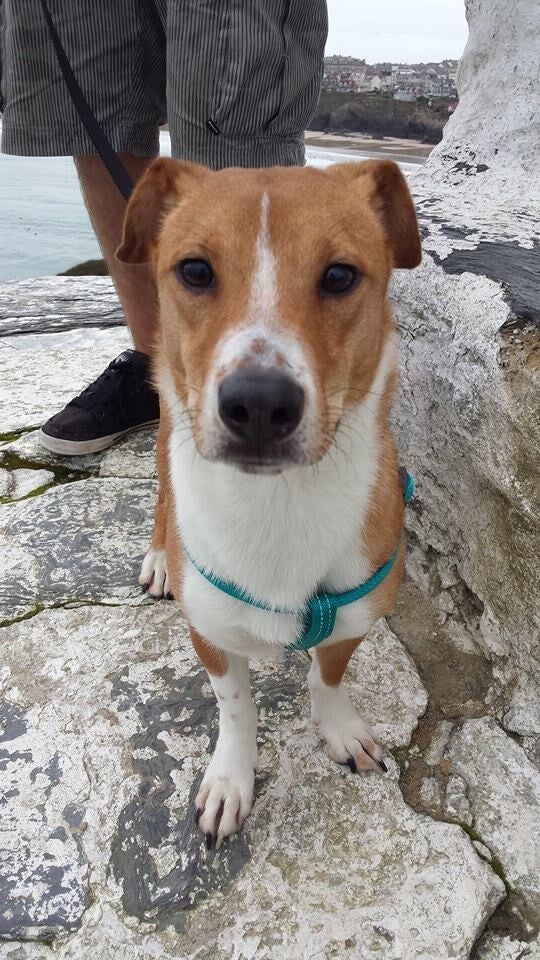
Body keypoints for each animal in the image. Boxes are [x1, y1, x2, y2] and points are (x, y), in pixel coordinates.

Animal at [117, 157, 421, 849]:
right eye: (194, 270)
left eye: (339, 275)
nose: (259, 402)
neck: (280, 504)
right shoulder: (210, 633)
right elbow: (237, 708)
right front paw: (232, 779)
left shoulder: (354, 614)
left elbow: (326, 677)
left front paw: (338, 729)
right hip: (167, 428)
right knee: (163, 495)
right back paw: (160, 556)